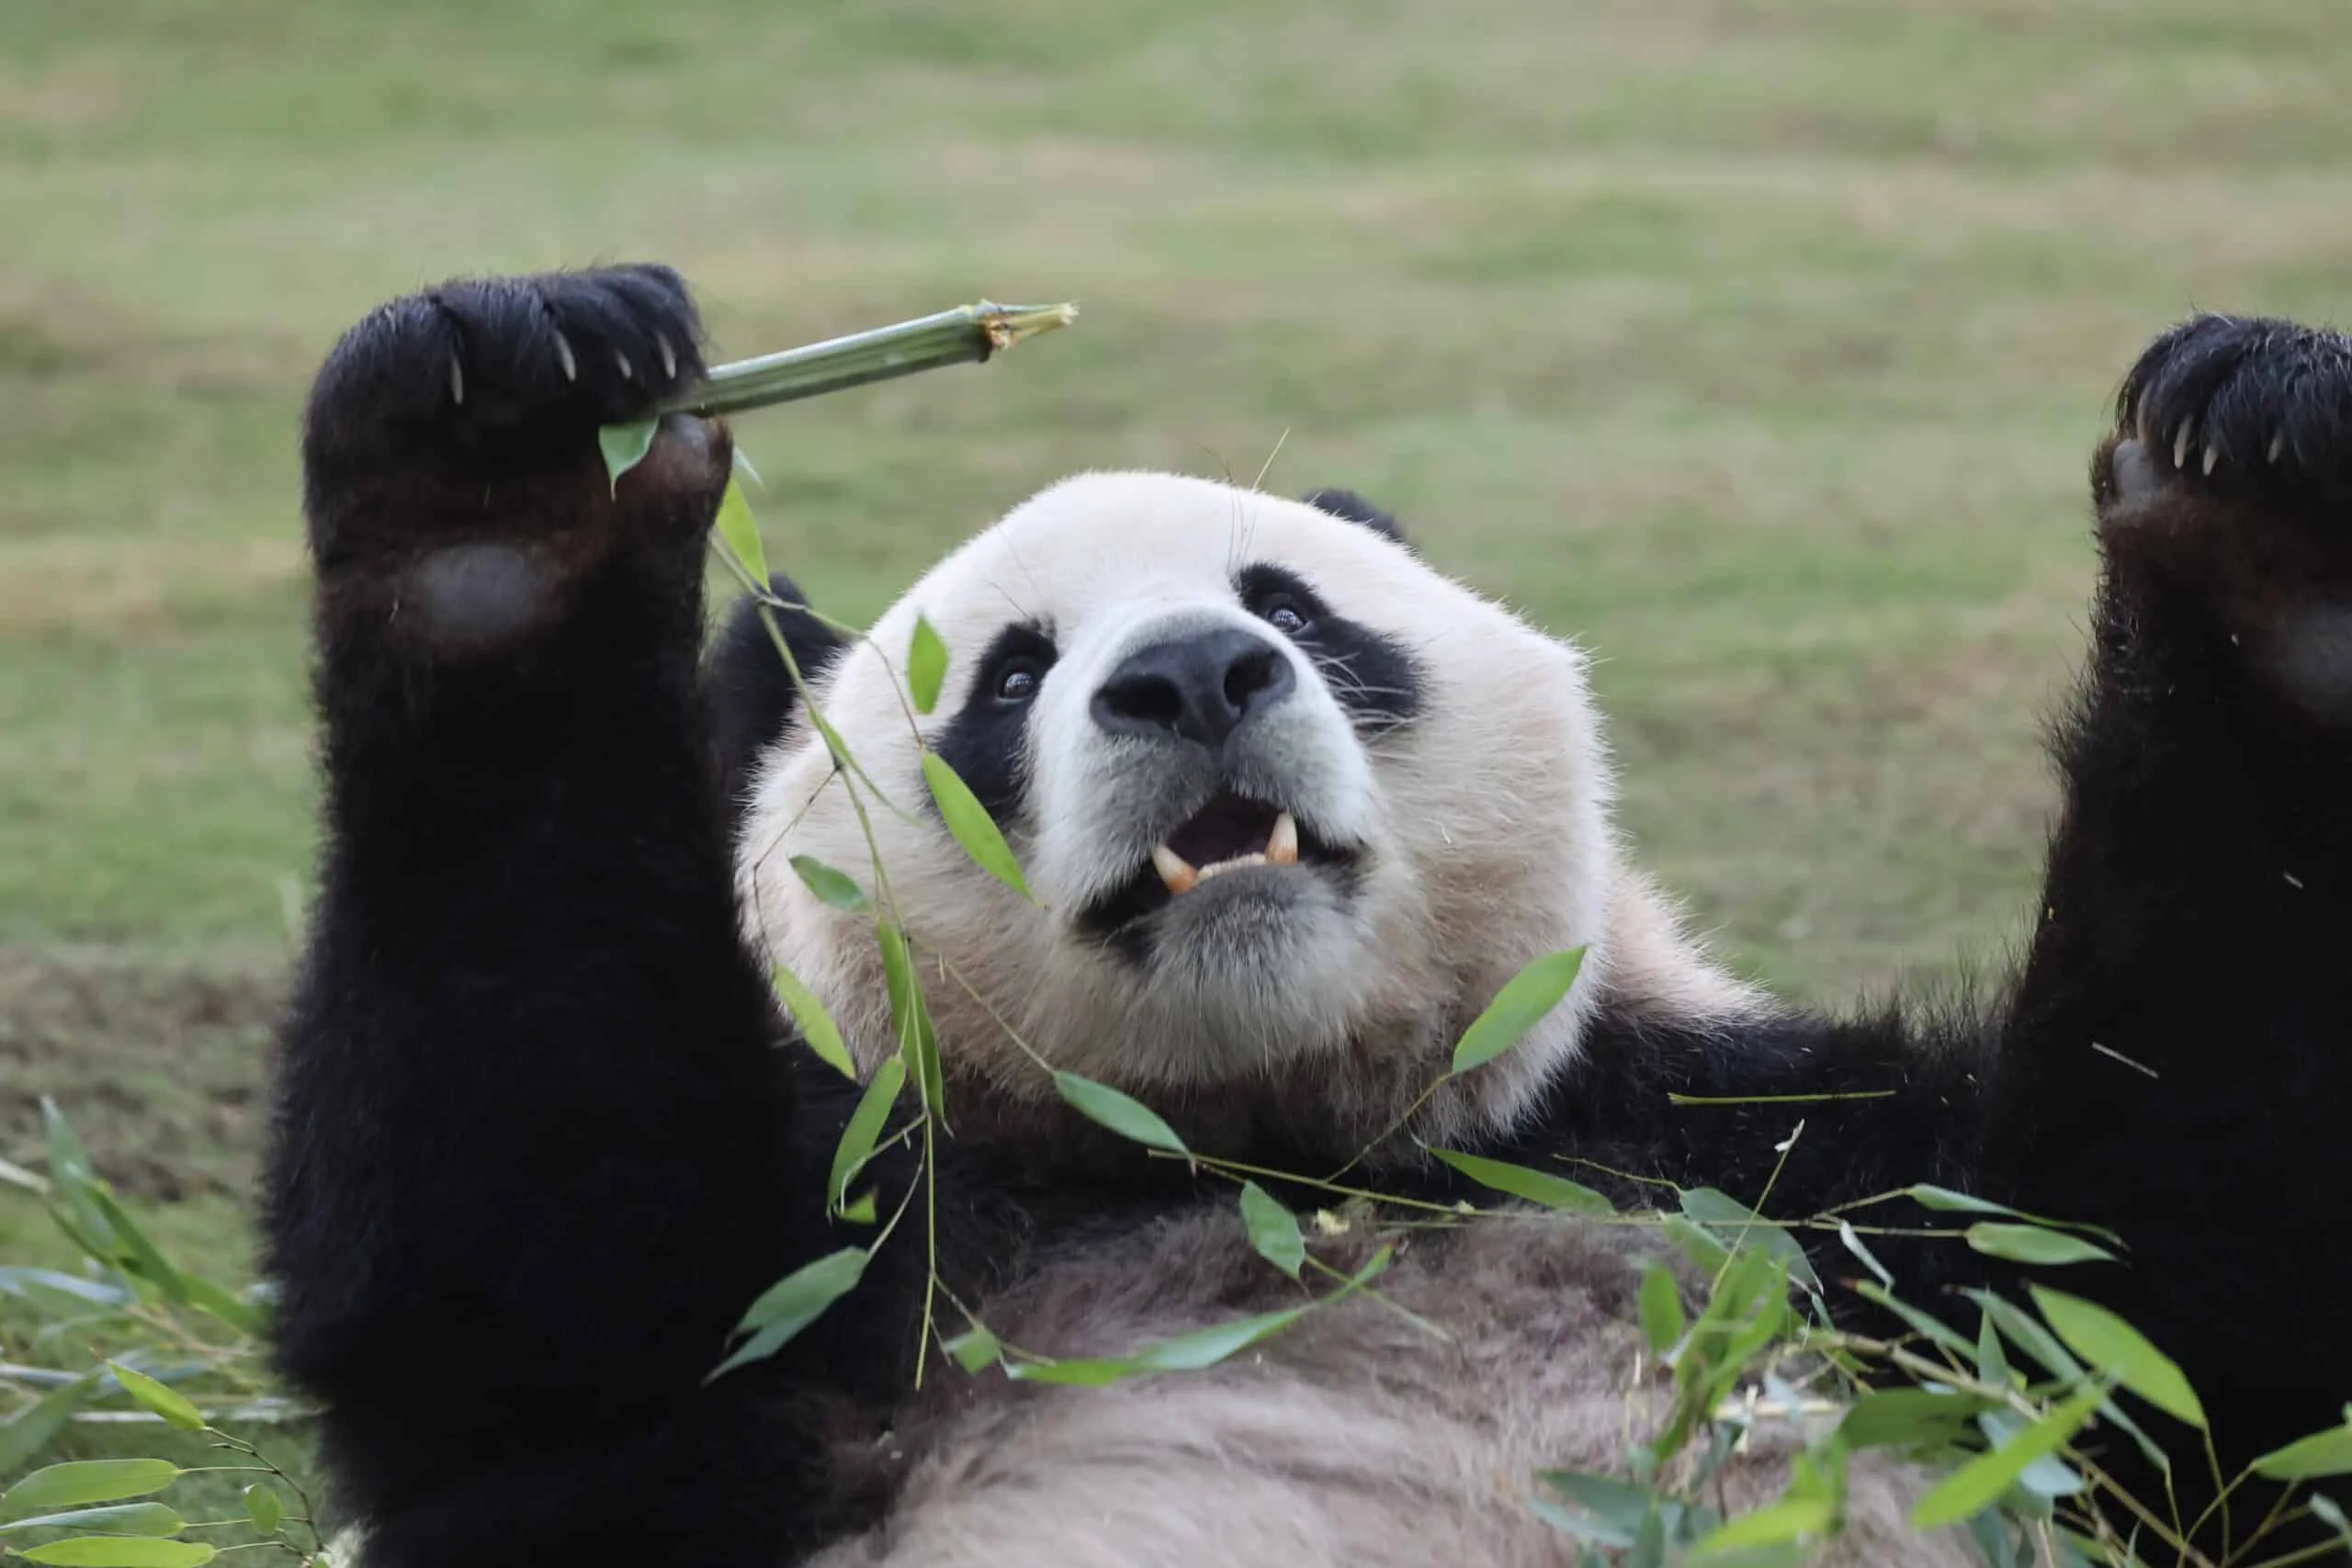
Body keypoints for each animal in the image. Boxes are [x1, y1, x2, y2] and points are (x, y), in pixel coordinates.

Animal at [264, 265, 2352, 1568]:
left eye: (1296, 605)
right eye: (1006, 679)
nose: (1192, 674)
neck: (1277, 1151)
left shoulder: (1770, 1171)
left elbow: (2170, 1315)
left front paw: (2266, 505)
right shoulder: (858, 1251)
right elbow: (532, 1291)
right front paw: (503, 468)